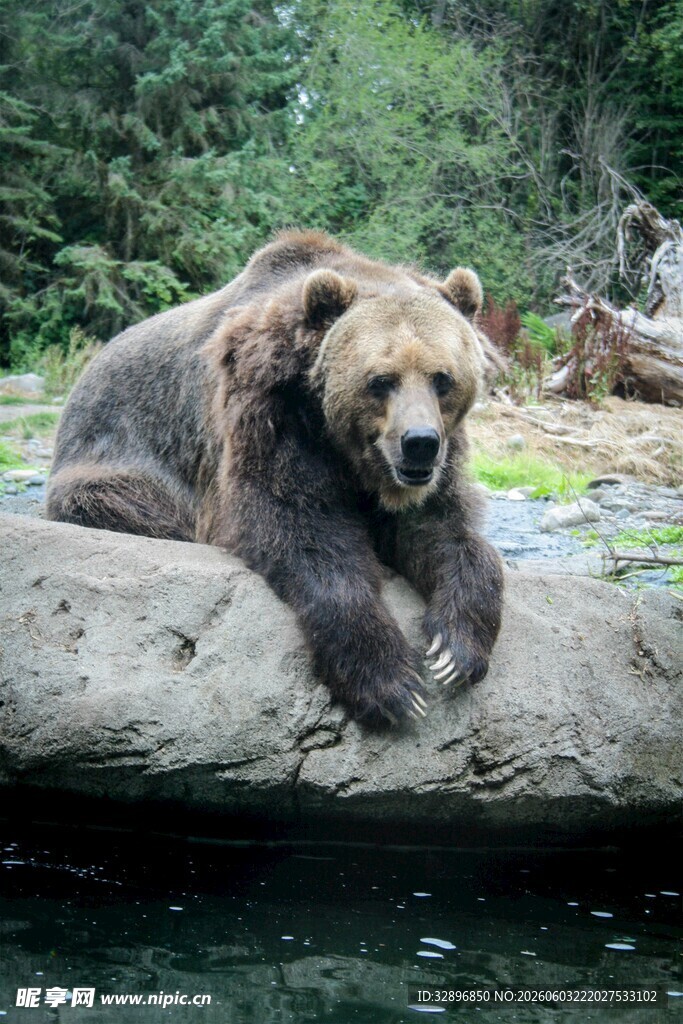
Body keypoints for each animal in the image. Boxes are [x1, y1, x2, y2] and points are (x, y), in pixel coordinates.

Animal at [46, 230, 503, 724]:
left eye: (442, 378)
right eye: (381, 380)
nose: (419, 442)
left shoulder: (430, 468)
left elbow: (442, 530)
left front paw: (455, 650)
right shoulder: (267, 411)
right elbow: (296, 526)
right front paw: (390, 681)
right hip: (113, 456)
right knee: (120, 504)